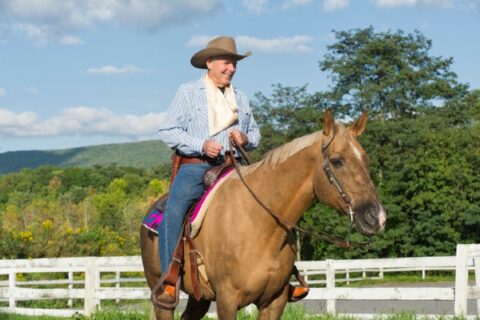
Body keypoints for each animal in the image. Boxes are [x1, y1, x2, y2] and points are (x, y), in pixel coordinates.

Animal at [140, 110, 386, 320]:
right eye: (337, 161)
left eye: (366, 159)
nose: (377, 217)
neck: (259, 224)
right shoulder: (227, 299)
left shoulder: (274, 301)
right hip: (162, 295)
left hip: (199, 298)